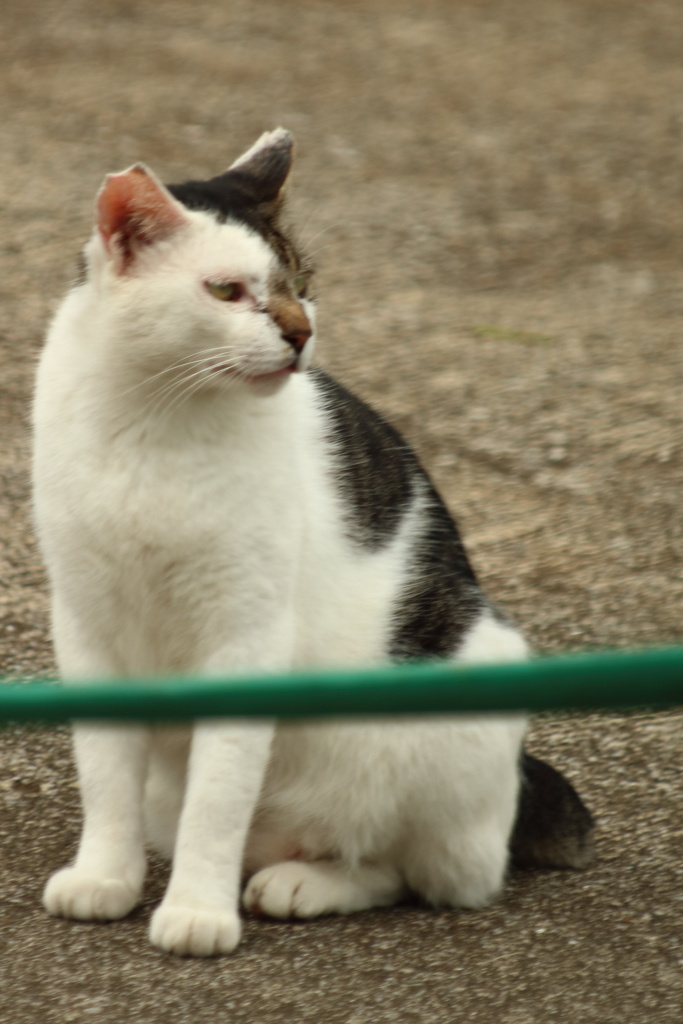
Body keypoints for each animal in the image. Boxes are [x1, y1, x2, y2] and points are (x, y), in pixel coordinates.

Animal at [30, 130, 593, 958]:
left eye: (300, 282)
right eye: (226, 291)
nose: (300, 334)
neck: (152, 417)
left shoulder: (245, 633)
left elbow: (218, 798)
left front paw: (196, 911)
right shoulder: (86, 623)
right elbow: (104, 775)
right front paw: (105, 876)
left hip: (459, 705)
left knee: (419, 873)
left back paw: (304, 883)